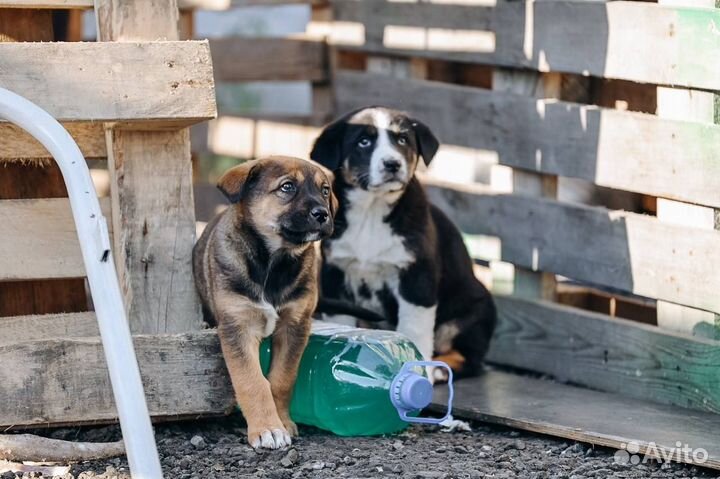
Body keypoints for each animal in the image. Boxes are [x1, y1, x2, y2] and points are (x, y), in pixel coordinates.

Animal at [193, 157, 336, 450]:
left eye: (325, 190)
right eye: (287, 187)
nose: (322, 214)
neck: (274, 262)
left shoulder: (295, 325)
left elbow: (281, 379)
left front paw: (282, 422)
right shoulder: (237, 327)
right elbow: (252, 382)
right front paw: (267, 429)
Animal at [312, 106, 498, 378]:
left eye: (402, 140)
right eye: (363, 142)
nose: (393, 164)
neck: (371, 212)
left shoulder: (416, 277)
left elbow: (414, 329)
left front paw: (419, 368)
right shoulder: (336, 273)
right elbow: (341, 320)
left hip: (471, 311)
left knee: (471, 359)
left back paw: (439, 370)